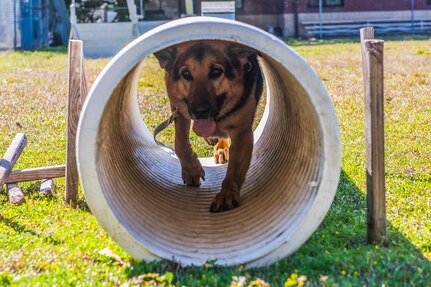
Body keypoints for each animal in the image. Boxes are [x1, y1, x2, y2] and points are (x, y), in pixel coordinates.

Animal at [155, 40, 264, 212]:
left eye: (216, 71)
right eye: (186, 73)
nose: (200, 111)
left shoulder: (242, 132)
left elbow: (235, 166)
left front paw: (227, 192)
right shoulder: (178, 110)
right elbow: (180, 144)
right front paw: (191, 169)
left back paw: (222, 149)